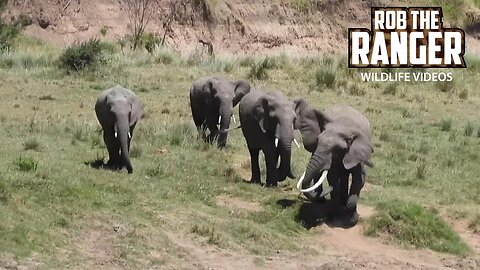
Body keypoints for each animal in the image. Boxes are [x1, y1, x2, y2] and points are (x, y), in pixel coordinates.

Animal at [292, 98, 376, 226]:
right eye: (317, 141)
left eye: (336, 149)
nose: (328, 189)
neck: (343, 125)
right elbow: (333, 178)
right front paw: (335, 215)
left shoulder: (357, 153)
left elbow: (359, 179)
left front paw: (351, 219)